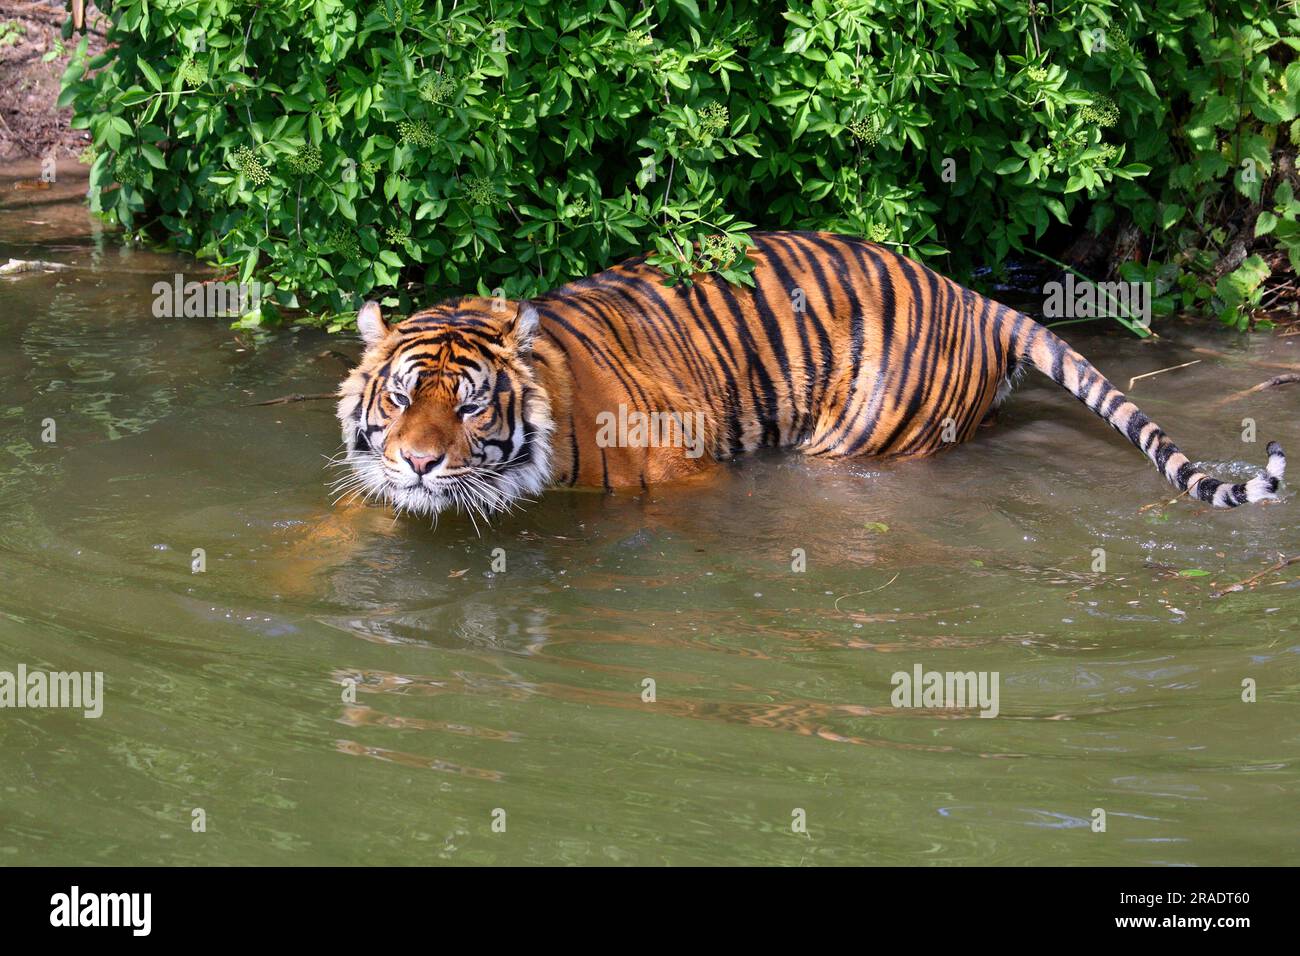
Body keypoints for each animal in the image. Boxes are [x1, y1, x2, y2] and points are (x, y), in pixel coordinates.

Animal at [335, 227, 1289, 520]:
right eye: (400, 396)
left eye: (471, 409)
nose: (417, 463)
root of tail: (978, 297)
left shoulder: (684, 471)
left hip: (859, 440)